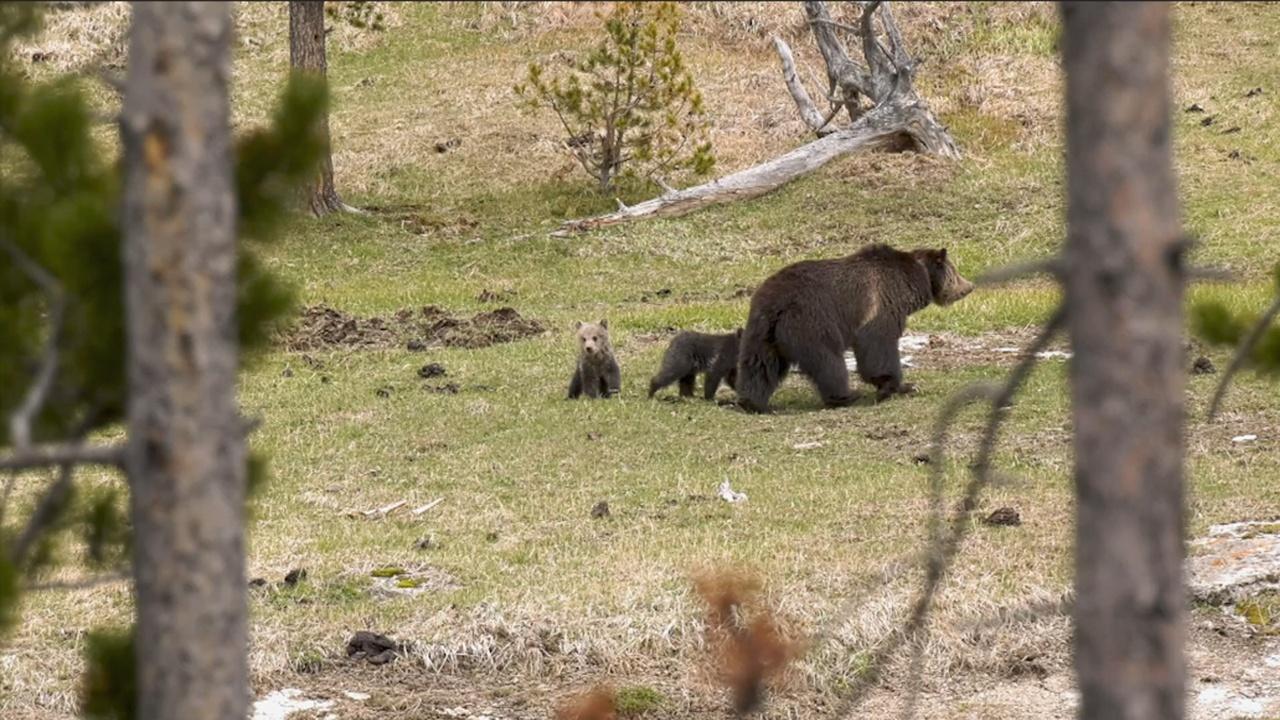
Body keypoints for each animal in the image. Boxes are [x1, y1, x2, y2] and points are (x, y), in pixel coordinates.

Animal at [737, 242, 972, 412]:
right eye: (955, 271)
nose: (968, 287)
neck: (914, 280)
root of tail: (776, 305)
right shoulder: (882, 303)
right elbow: (879, 345)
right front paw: (895, 385)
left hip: (762, 331)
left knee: (760, 365)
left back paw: (752, 401)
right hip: (811, 323)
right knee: (828, 361)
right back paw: (846, 396)